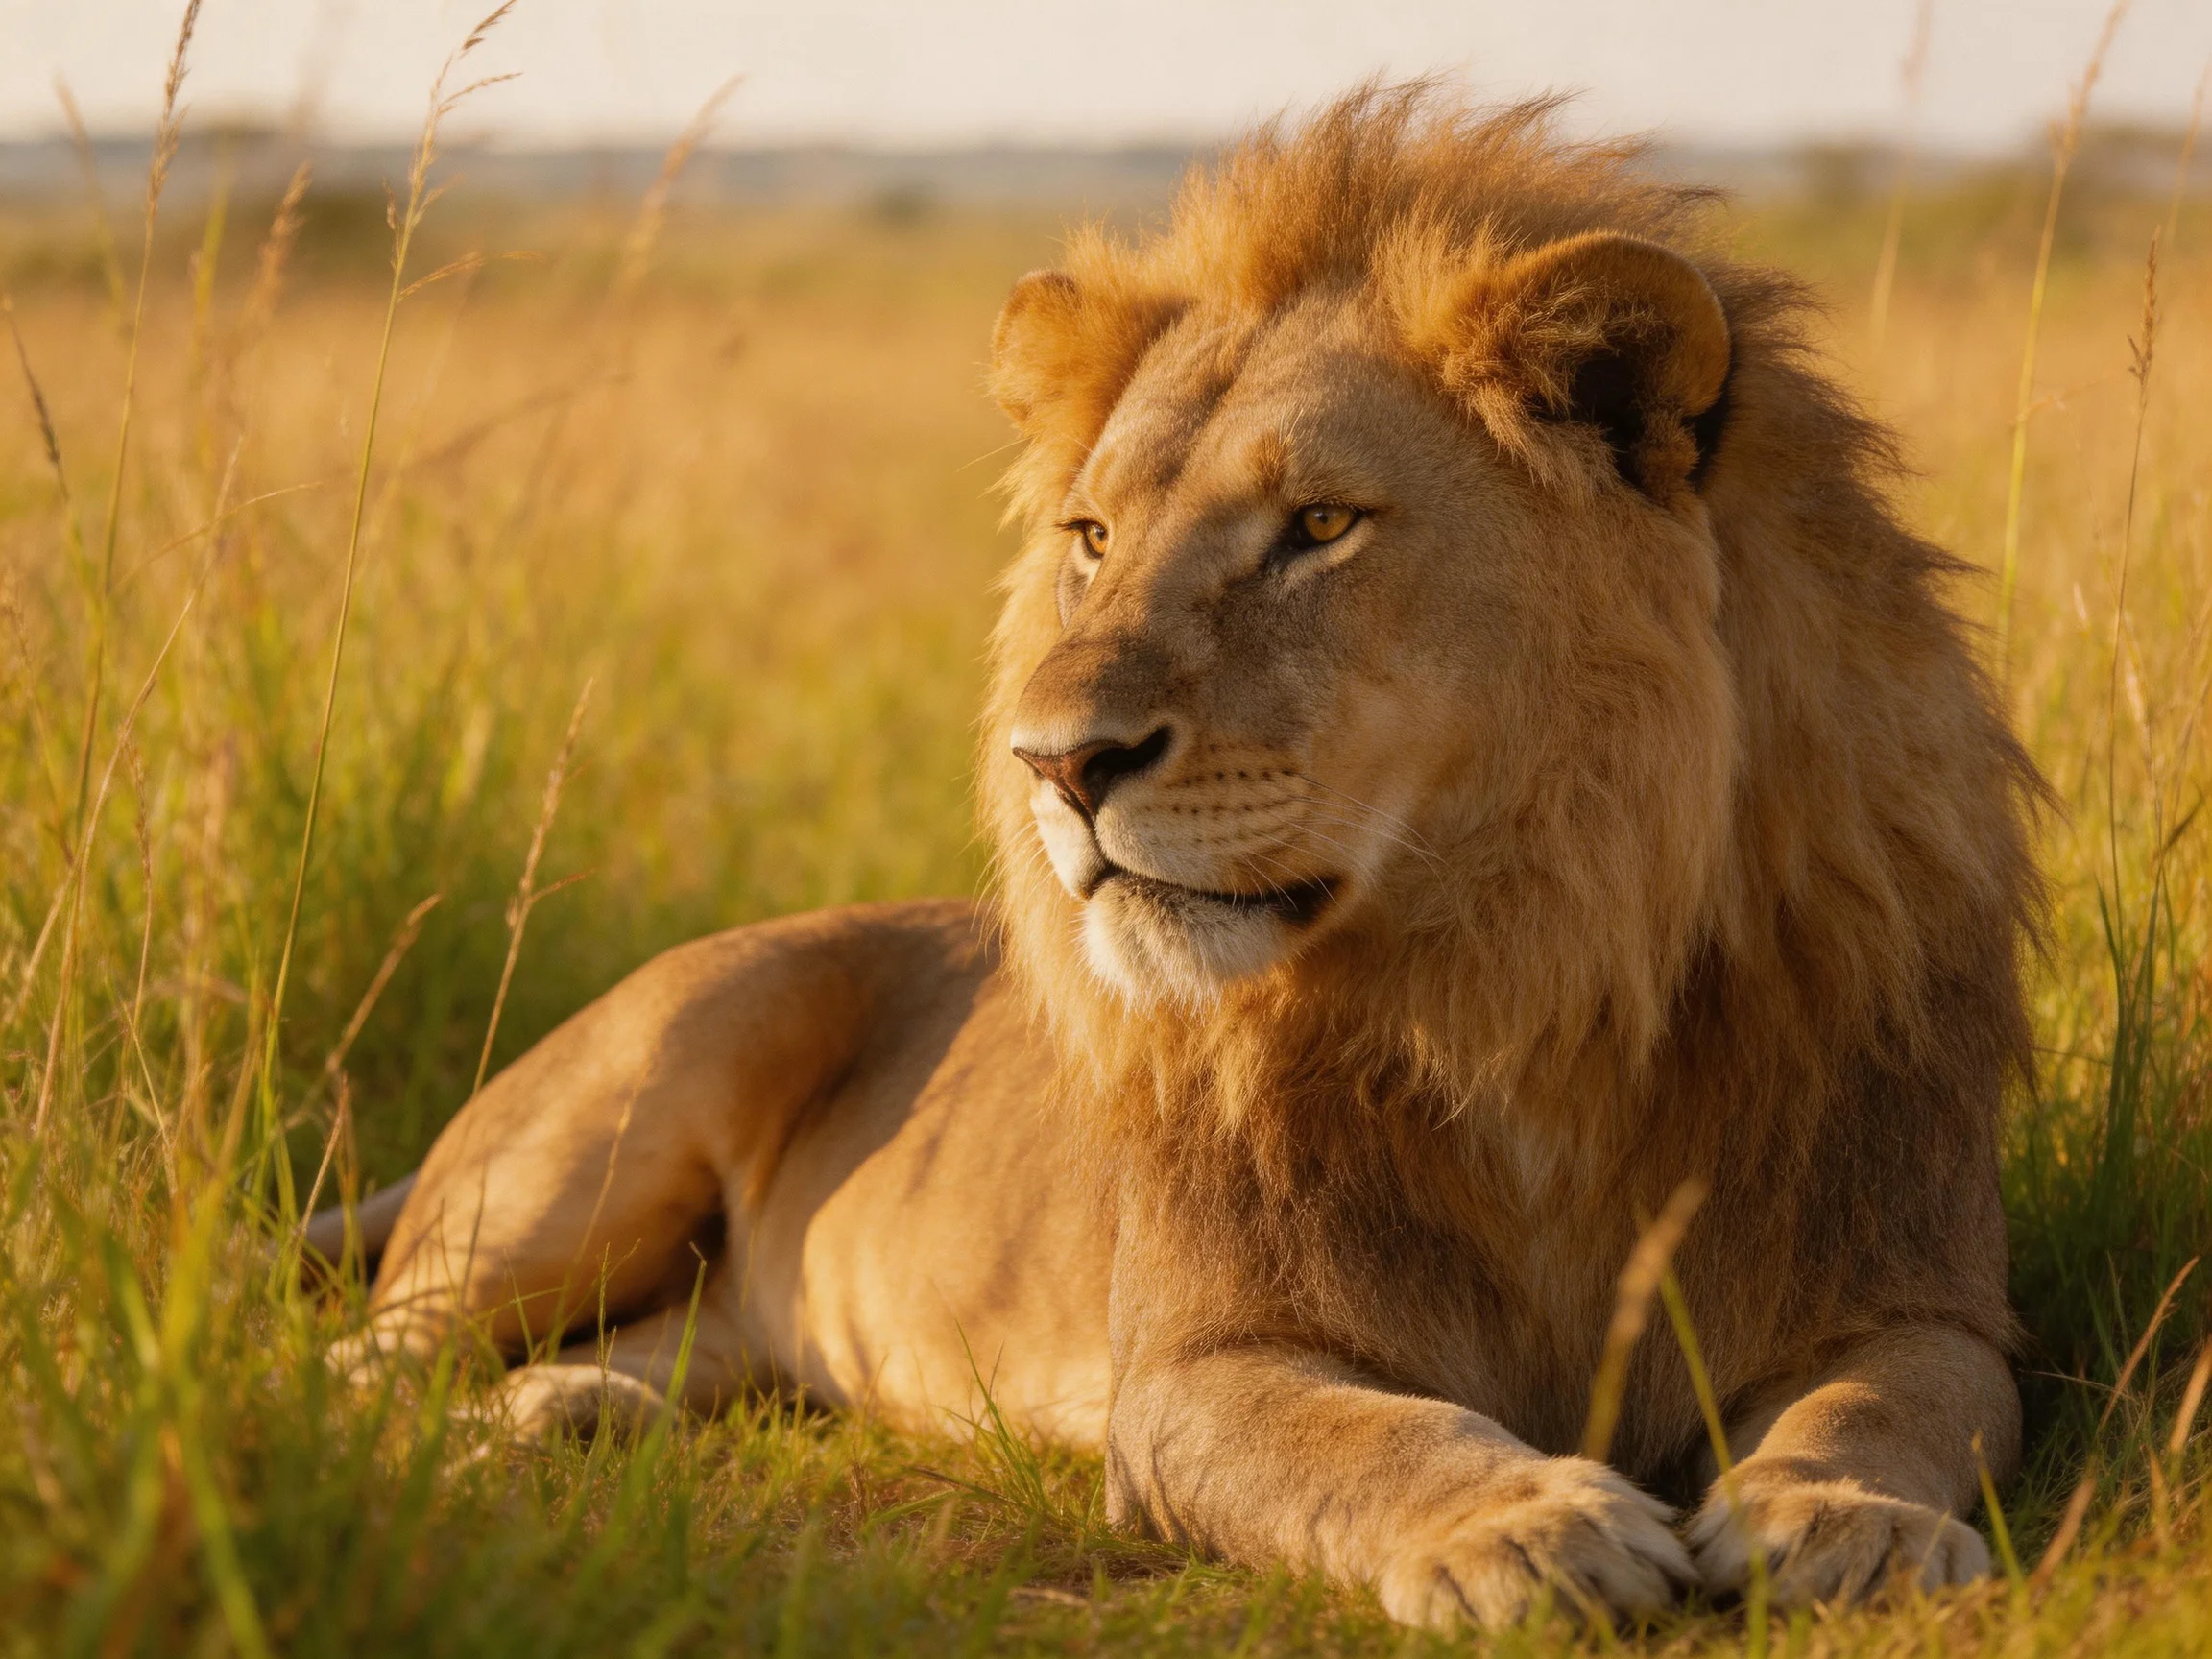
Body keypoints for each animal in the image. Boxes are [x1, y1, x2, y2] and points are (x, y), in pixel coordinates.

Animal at [315, 87, 2043, 1627]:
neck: (1514, 982)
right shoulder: (1195, 1370)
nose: (1054, 763)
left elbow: (1882, 1404)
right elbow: (1370, 1437)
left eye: (1320, 527)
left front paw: (1849, 1521)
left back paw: (558, 1415)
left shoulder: (1918, 1290)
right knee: (361, 1349)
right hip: (615, 1122)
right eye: (1090, 539)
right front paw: (1525, 1522)